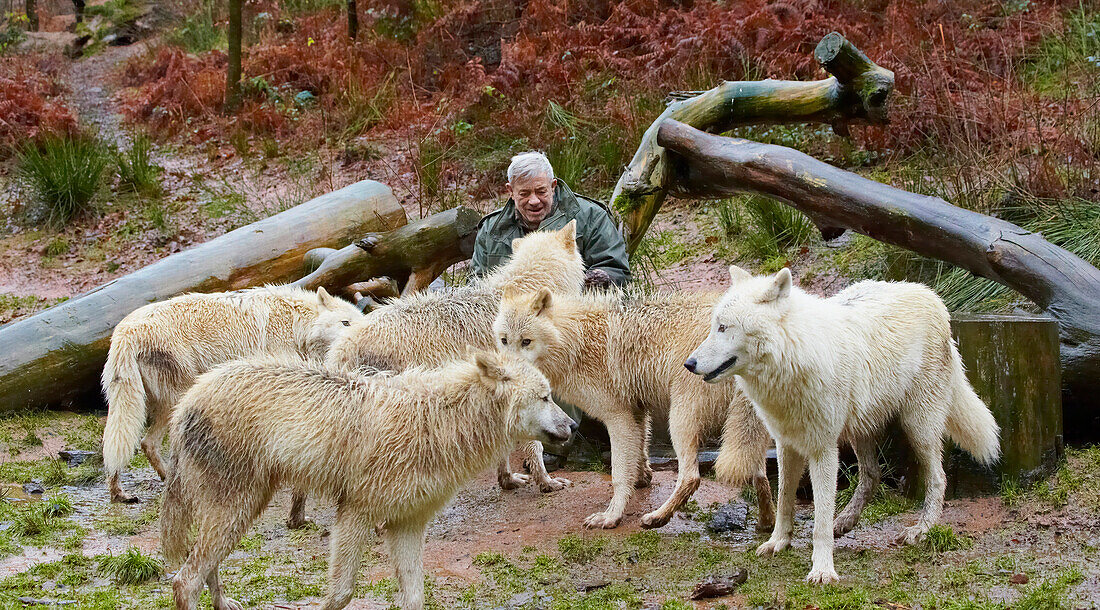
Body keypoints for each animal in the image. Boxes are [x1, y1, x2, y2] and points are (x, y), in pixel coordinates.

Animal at [690, 267, 1003, 580]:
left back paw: (922, 529)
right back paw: (845, 521)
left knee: (938, 478)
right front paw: (779, 542)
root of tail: (931, 295)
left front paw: (822, 570)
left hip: (919, 427)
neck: (793, 357)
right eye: (714, 325)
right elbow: (784, 500)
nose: (689, 364)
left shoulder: (823, 449)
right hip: (861, 429)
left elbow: (820, 519)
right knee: (873, 475)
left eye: (723, 327)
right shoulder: (786, 443)